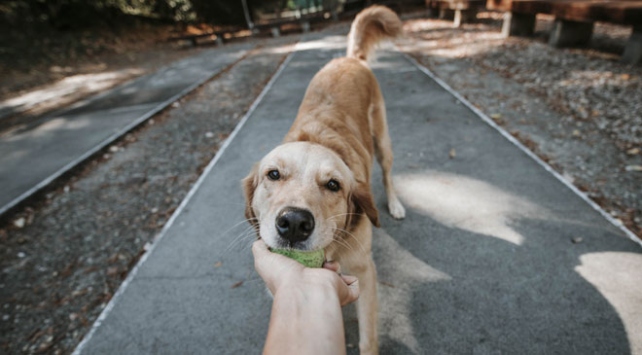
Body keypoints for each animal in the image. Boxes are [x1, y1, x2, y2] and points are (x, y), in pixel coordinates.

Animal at [242, 6, 402, 355]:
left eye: (333, 185)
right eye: (273, 174)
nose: (293, 223)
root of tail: (350, 58)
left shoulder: (365, 273)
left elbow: (368, 338)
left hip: (383, 140)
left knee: (388, 172)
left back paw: (396, 204)